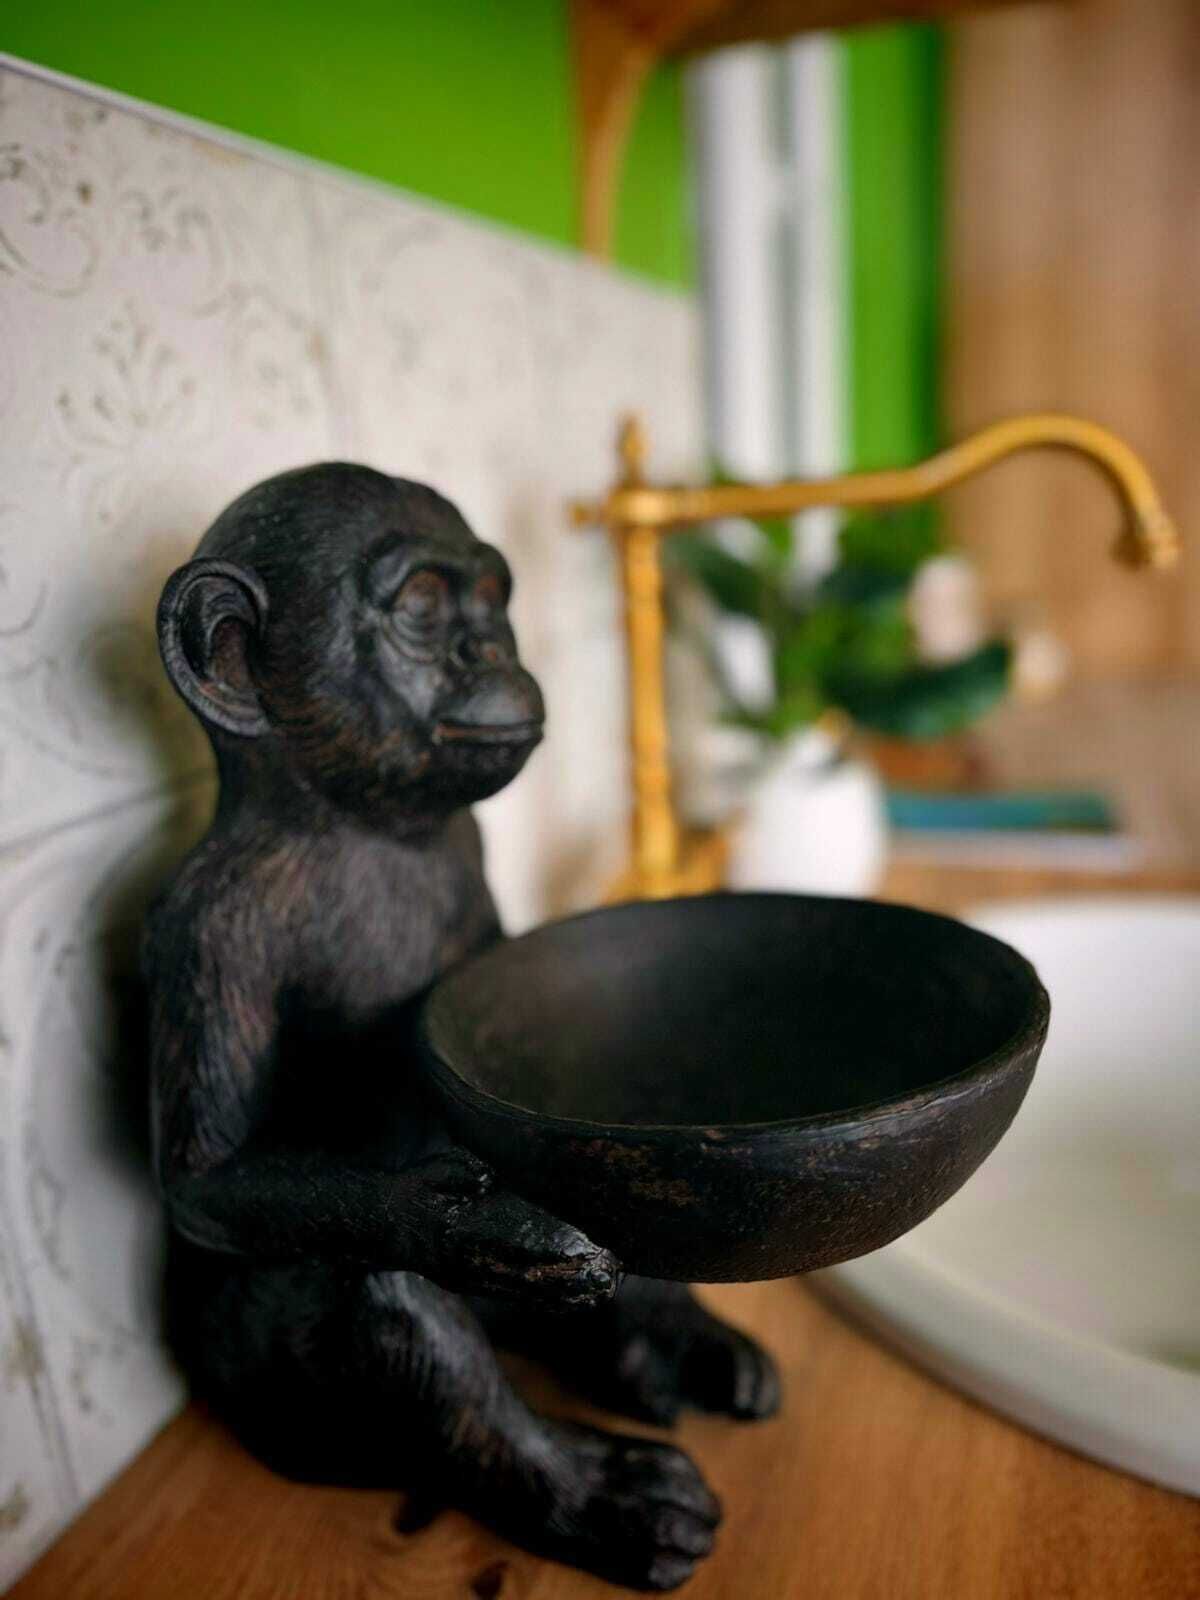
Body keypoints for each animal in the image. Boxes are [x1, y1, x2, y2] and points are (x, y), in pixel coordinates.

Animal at [145, 463, 780, 1593]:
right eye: (424, 607)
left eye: (492, 602)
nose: (488, 652)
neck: (358, 824)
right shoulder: (216, 924)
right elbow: (208, 1179)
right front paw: (463, 1221)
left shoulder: (469, 847)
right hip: (276, 1397)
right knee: (388, 1309)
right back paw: (602, 1494)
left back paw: (666, 1341)